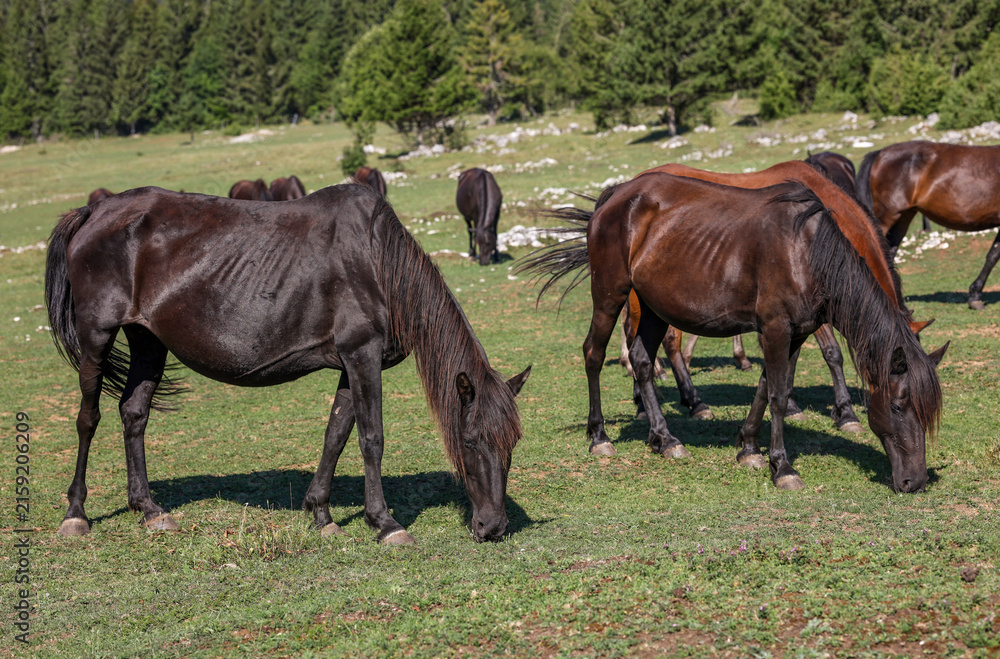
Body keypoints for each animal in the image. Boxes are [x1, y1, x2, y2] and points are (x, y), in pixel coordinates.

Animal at [45, 185, 530, 544]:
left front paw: (322, 514)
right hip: (97, 337)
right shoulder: (362, 355)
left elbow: (336, 435)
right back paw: (76, 514)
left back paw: (148, 509)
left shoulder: (350, 363)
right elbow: (371, 438)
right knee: (88, 418)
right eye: (469, 441)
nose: (493, 527)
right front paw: (385, 524)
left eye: (512, 444)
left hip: (148, 342)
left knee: (134, 414)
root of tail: (95, 210)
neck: (377, 262)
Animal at [520, 173, 946, 492]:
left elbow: (768, 386)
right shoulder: (775, 329)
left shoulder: (796, 333)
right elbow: (778, 395)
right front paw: (782, 467)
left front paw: (749, 448)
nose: (915, 482)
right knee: (593, 354)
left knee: (641, 361)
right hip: (610, 295)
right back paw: (600, 437)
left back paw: (664, 439)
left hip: (654, 306)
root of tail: (614, 195)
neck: (807, 252)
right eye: (897, 406)